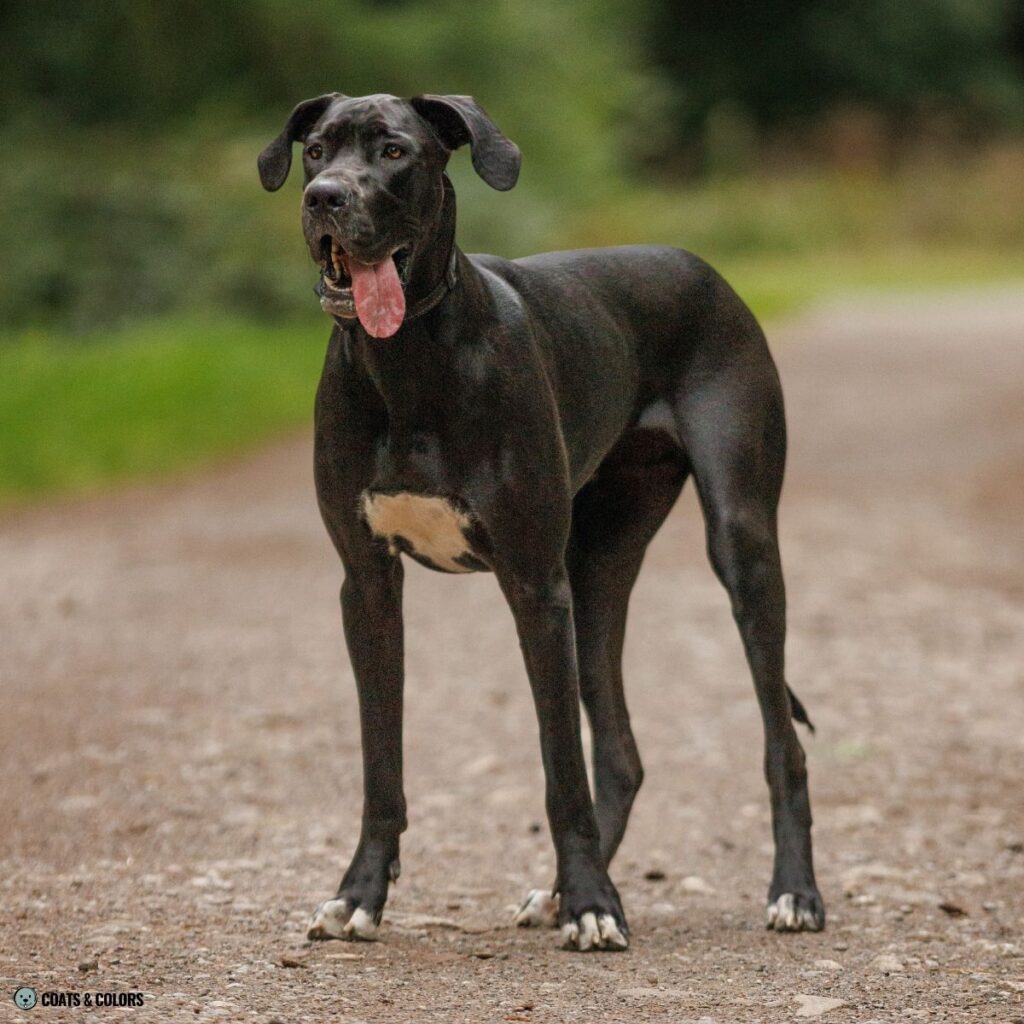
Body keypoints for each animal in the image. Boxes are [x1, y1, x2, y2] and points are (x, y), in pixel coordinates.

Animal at [258, 92, 823, 946]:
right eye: (317, 150)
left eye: (393, 151)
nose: (324, 198)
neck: (410, 360)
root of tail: (703, 267)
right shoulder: (367, 585)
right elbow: (380, 763)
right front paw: (360, 894)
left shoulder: (532, 585)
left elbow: (560, 767)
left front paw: (593, 903)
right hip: (595, 573)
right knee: (620, 753)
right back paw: (560, 892)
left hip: (738, 544)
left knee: (777, 742)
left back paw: (793, 892)